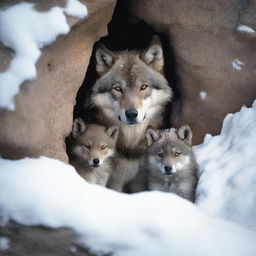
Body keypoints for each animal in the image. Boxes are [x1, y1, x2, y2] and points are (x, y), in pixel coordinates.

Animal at [87, 36, 173, 192]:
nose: (132, 114)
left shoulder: (140, 181)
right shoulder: (115, 181)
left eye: (143, 87)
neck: (131, 145)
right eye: (117, 89)